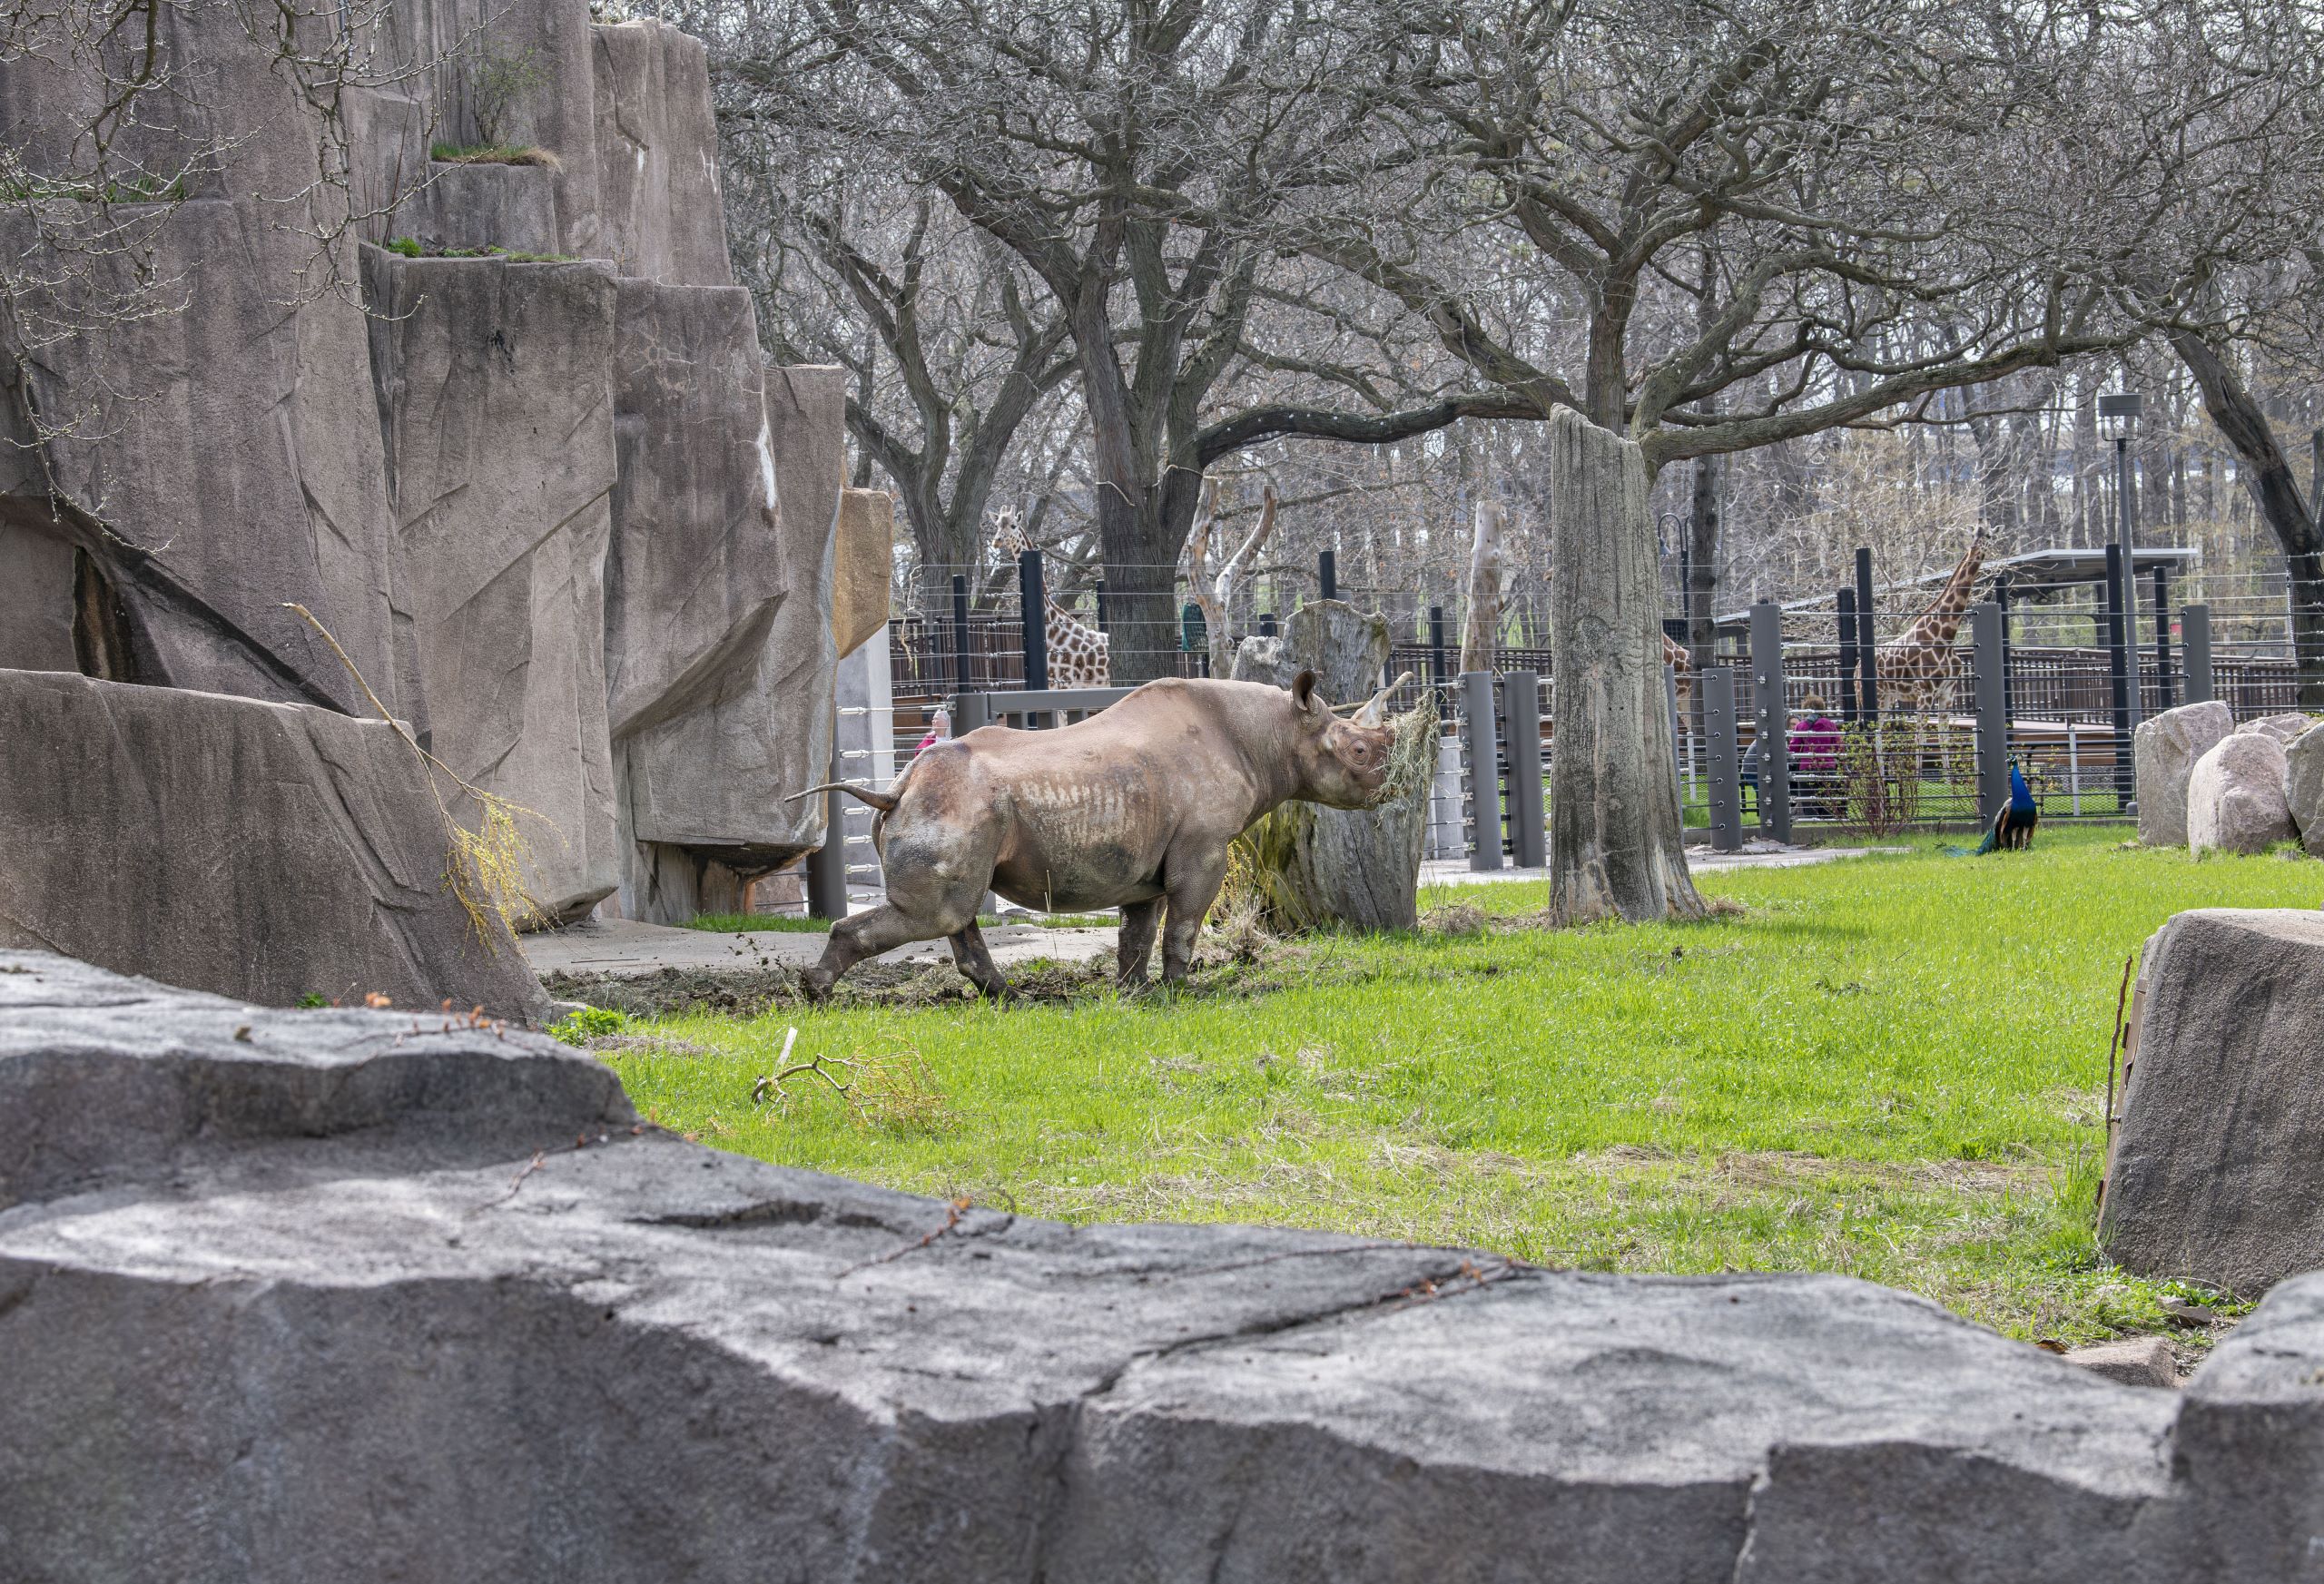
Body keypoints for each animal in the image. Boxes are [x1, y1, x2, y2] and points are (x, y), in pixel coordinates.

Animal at [792, 671, 1406, 999]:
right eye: (1358, 751)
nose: (1392, 785)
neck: (1272, 732)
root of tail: (896, 790)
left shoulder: (1145, 859)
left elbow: (1139, 930)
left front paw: (1132, 991)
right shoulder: (1204, 845)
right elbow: (1185, 921)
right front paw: (1182, 990)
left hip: (954, 807)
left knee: (955, 912)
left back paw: (1010, 1000)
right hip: (957, 806)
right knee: (940, 913)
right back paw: (817, 993)